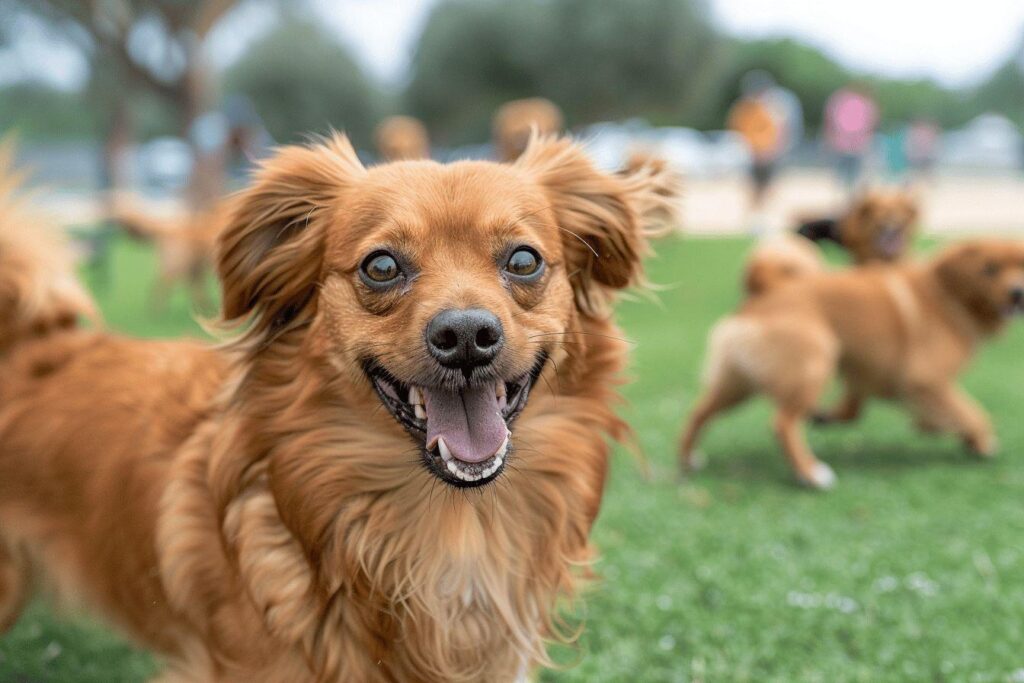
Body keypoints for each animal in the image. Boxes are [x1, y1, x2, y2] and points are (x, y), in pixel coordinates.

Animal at [679, 237, 1024, 489]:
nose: (1017, 293)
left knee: (698, 413)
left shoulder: (866, 372)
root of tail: (767, 288)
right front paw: (982, 443)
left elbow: (853, 410)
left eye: (1021, 265)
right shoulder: (924, 380)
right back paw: (811, 473)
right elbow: (975, 415)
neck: (946, 293)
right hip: (815, 363)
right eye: (991, 268)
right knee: (782, 423)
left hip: (737, 382)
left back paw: (688, 459)